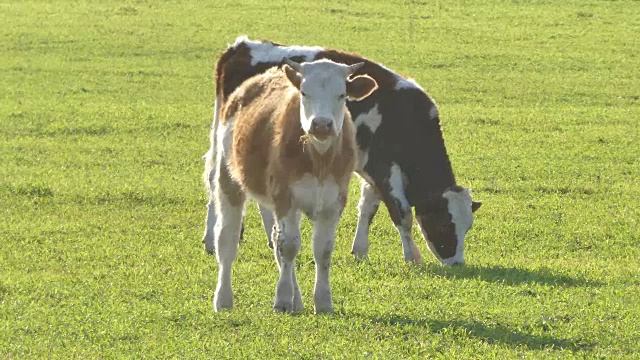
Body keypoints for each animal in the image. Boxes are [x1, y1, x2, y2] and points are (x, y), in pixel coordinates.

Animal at [202, 36, 482, 266]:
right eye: (445, 225)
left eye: (467, 228)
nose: (457, 263)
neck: (404, 118)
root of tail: (239, 47)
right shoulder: (383, 169)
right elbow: (401, 212)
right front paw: (412, 256)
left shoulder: (371, 167)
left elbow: (368, 206)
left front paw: (360, 250)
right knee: (215, 178)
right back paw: (212, 240)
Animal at [210, 57, 378, 314]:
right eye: (304, 93)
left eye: (341, 95)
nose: (321, 124)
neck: (318, 159)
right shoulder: (284, 197)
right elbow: (288, 247)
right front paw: (281, 299)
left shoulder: (333, 203)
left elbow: (322, 250)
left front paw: (323, 301)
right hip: (228, 179)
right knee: (227, 240)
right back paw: (223, 299)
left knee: (276, 241)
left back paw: (297, 302)